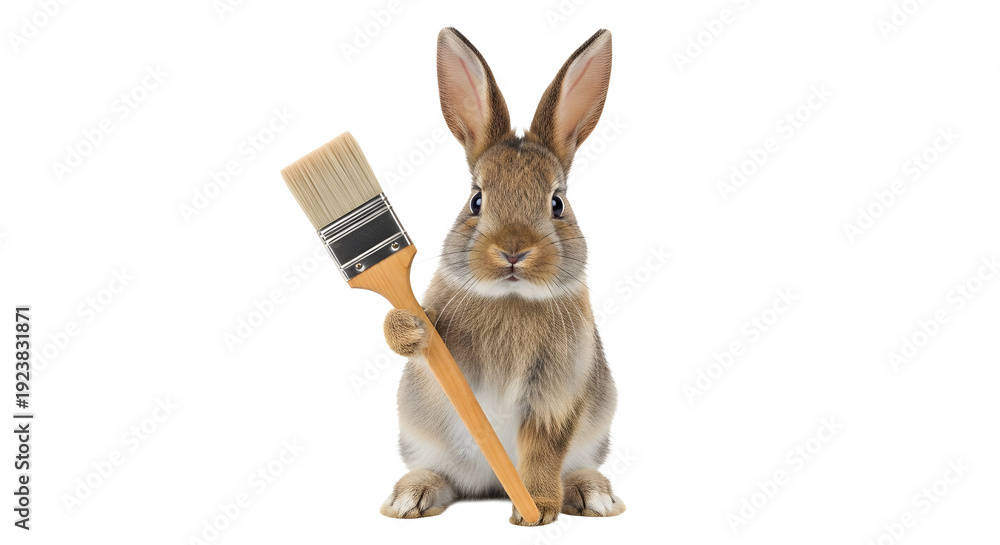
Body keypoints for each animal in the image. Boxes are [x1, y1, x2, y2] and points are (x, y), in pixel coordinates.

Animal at [378, 27, 623, 526]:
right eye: (476, 200)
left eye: (557, 203)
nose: (513, 252)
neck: (512, 297)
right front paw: (410, 328)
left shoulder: (556, 396)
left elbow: (544, 452)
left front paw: (537, 511)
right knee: (441, 476)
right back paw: (410, 498)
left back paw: (592, 495)